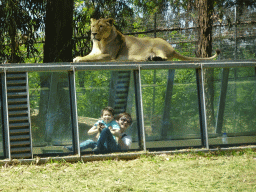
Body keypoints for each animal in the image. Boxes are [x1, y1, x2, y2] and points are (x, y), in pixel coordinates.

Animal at [73, 18, 221, 62]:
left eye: (101, 26)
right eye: (92, 26)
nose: (93, 33)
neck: (99, 42)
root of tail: (172, 48)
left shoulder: (109, 55)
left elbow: (91, 58)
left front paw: (79, 59)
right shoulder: (95, 51)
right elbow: (89, 55)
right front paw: (78, 56)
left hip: (156, 45)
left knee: (165, 58)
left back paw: (154, 58)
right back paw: (149, 58)